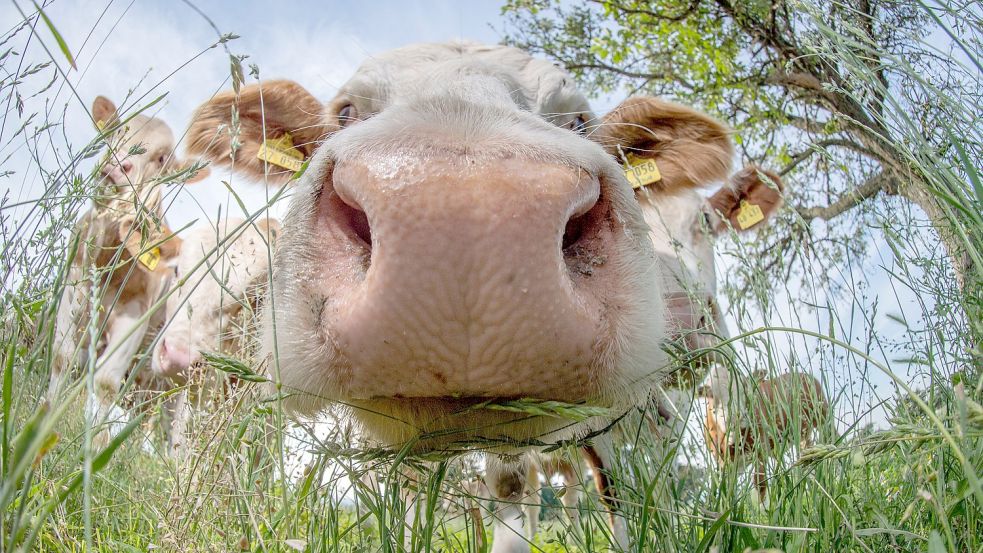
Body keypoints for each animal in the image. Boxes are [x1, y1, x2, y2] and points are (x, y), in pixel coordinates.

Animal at [51, 95, 207, 444]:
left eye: (161, 158)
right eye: (118, 130)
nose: (117, 165)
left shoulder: (135, 316)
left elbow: (105, 382)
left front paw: (95, 443)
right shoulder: (72, 288)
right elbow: (62, 359)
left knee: (175, 429)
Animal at [700, 368, 832, 502]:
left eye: (745, 389)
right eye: (711, 395)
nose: (737, 417)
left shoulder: (761, 450)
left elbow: (761, 484)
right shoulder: (723, 462)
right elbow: (725, 489)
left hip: (823, 416)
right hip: (804, 435)